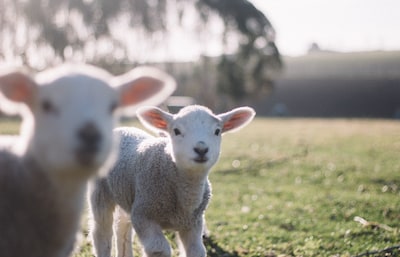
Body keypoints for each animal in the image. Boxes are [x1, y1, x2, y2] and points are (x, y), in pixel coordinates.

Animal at [88, 104, 255, 256]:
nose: (201, 149)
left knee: (122, 228)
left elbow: (196, 251)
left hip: (127, 194)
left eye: (217, 131)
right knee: (101, 231)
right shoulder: (143, 215)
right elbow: (159, 249)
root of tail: (122, 129)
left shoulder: (193, 223)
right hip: (100, 192)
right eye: (176, 131)